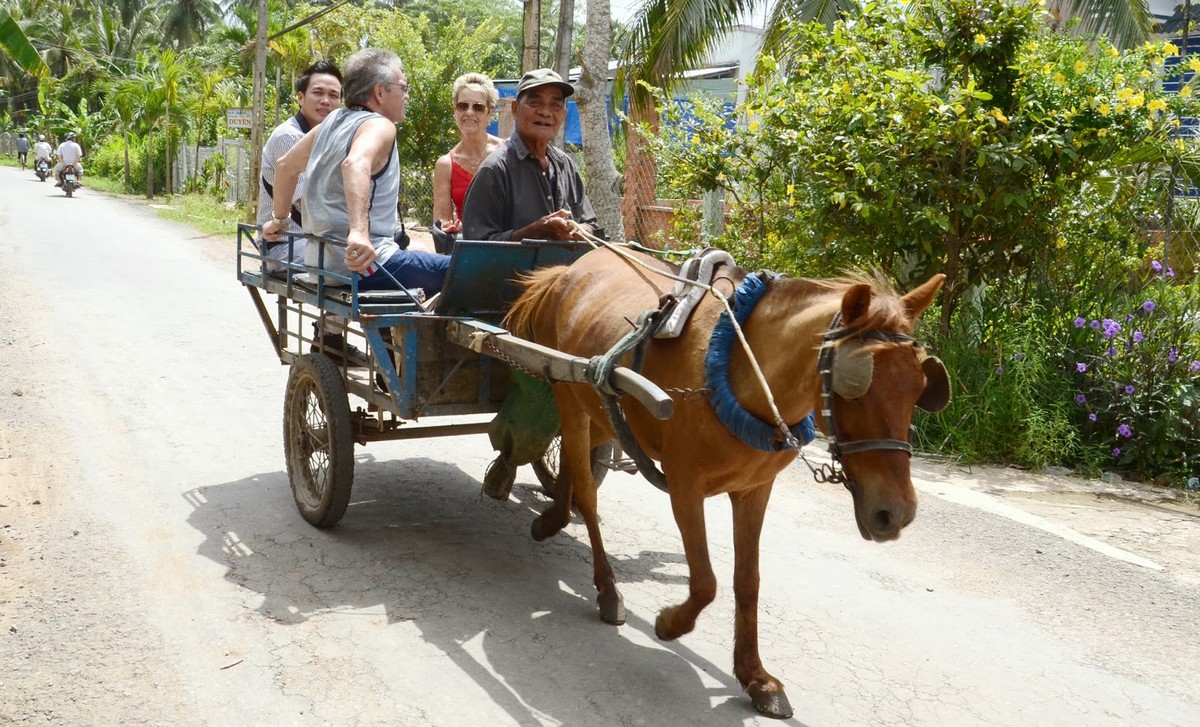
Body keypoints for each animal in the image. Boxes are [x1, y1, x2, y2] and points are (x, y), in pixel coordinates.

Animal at [501, 249, 950, 719]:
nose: (895, 514)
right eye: (853, 386)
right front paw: (670, 623)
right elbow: (705, 582)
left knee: (578, 460)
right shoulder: (685, 487)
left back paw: (551, 515)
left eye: (920, 386)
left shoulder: (755, 491)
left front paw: (755, 676)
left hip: (601, 407)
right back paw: (605, 586)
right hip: (567, 391)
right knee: (586, 490)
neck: (739, 374)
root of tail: (572, 267)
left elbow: (747, 581)